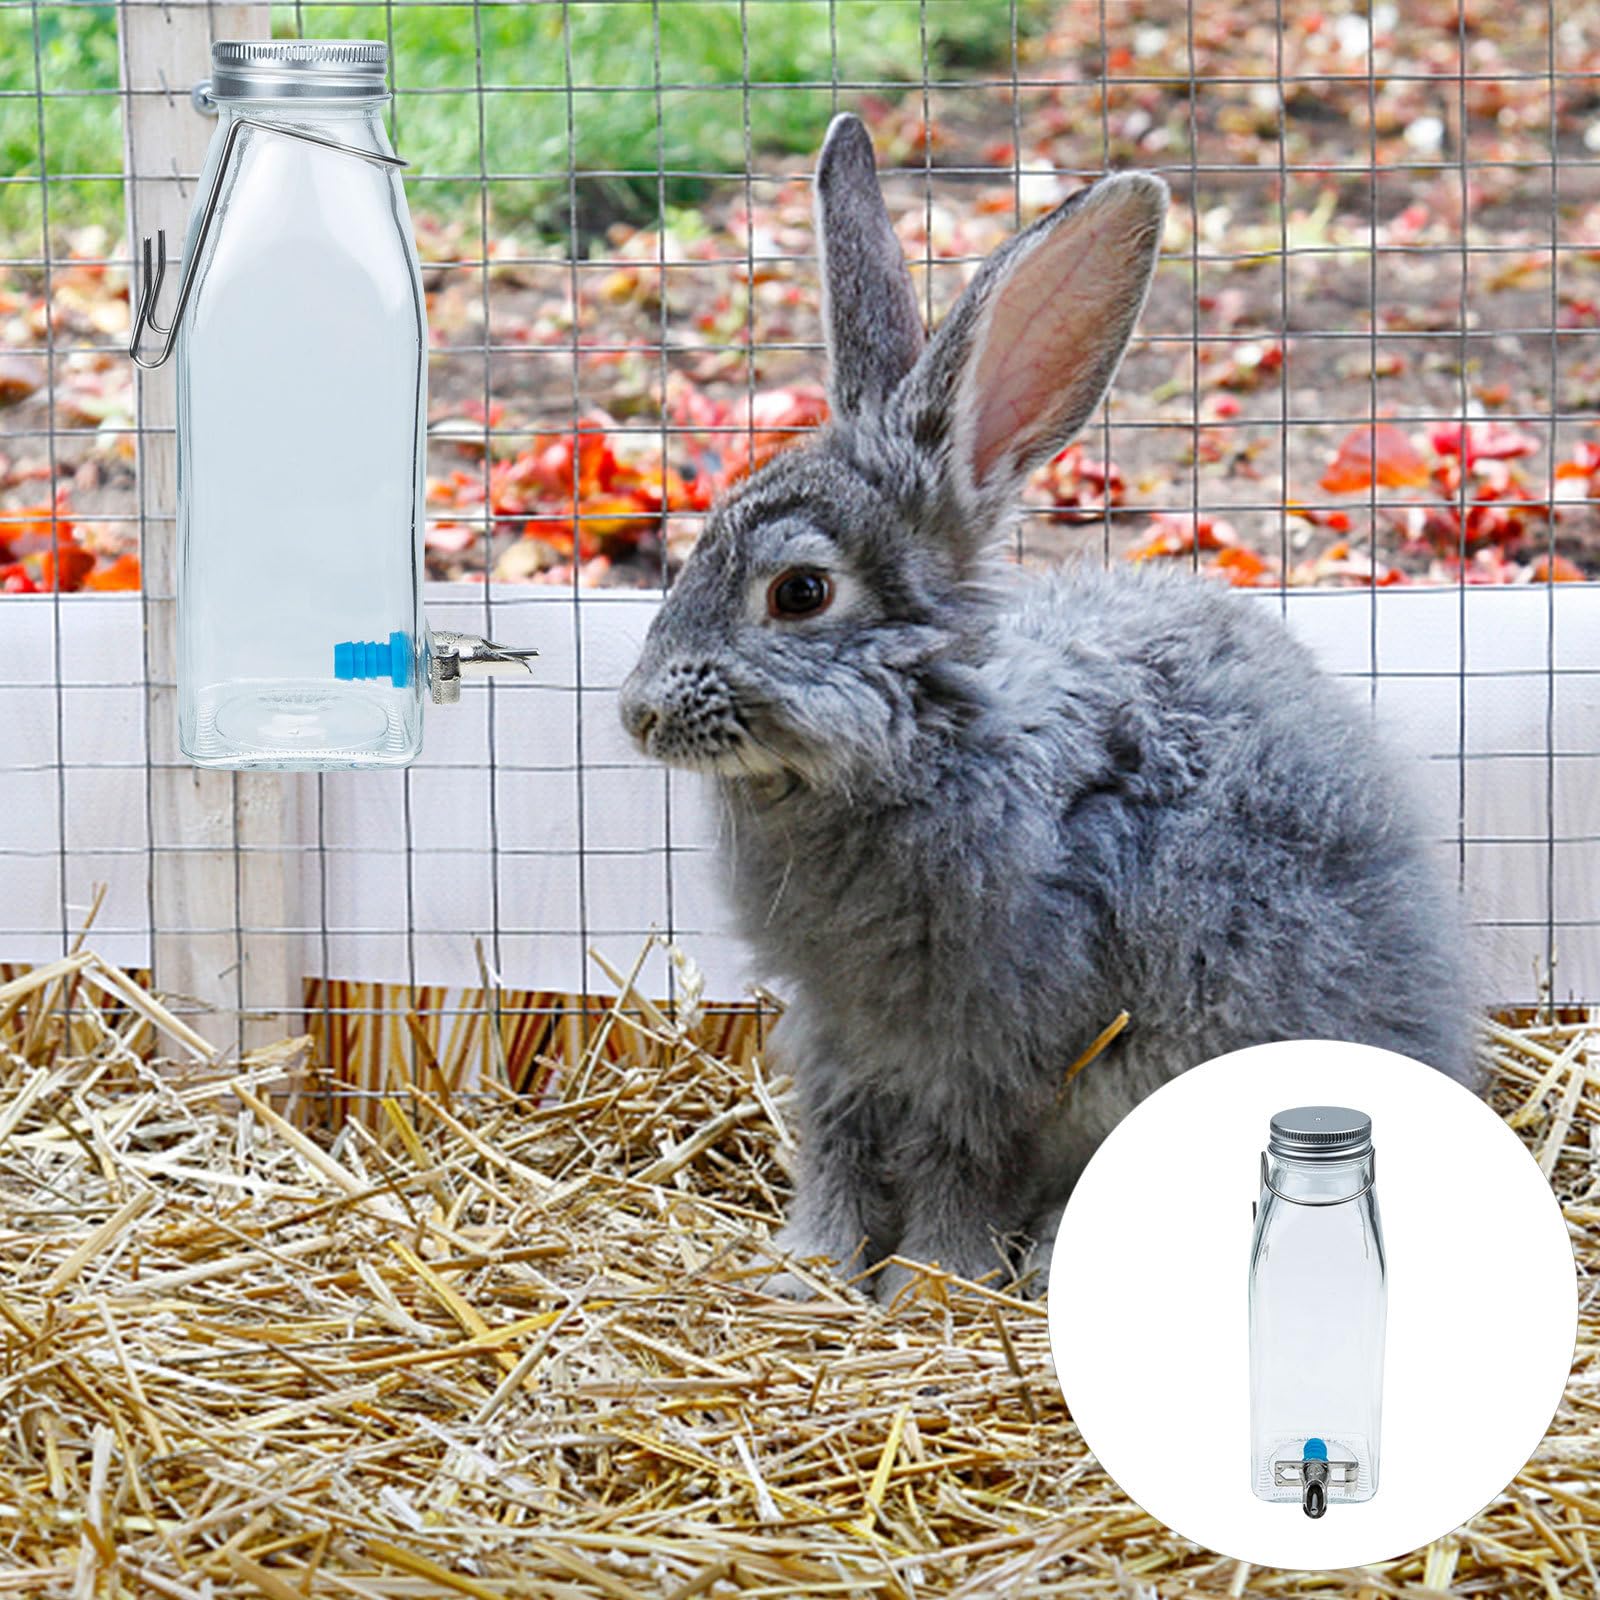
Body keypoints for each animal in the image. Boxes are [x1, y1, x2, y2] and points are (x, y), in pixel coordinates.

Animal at [618, 113, 1475, 1302]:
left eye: (799, 593)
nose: (637, 714)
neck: (930, 741)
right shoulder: (837, 1036)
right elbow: (835, 1145)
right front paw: (808, 1271)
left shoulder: (994, 1046)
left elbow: (957, 1162)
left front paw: (930, 1282)